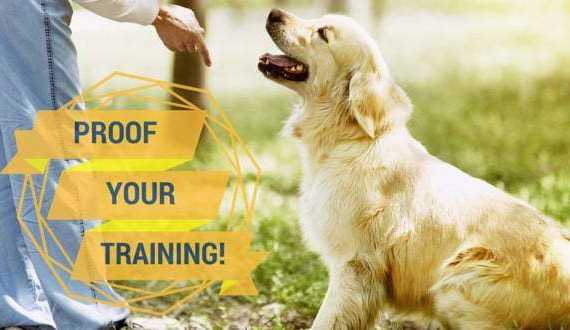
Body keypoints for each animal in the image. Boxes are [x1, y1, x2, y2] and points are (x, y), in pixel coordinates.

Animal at [256, 7, 568, 330]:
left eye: (323, 33)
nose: (274, 12)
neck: (349, 139)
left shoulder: (355, 264)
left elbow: (327, 318)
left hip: (456, 278)